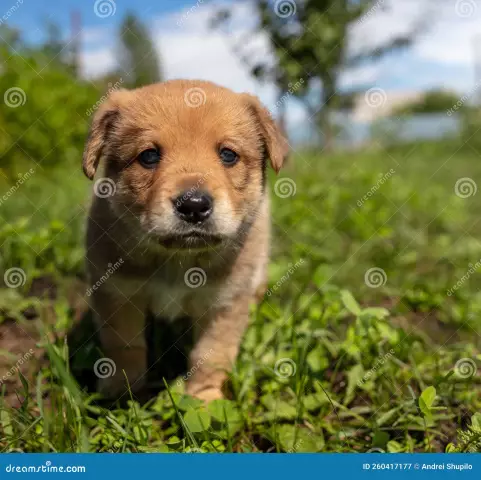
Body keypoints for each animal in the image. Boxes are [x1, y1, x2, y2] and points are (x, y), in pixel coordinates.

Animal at [81, 80, 286, 404]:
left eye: (228, 155)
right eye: (149, 156)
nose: (193, 205)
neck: (178, 260)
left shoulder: (224, 303)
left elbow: (211, 355)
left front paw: (204, 399)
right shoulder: (116, 293)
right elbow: (124, 347)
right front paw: (122, 392)